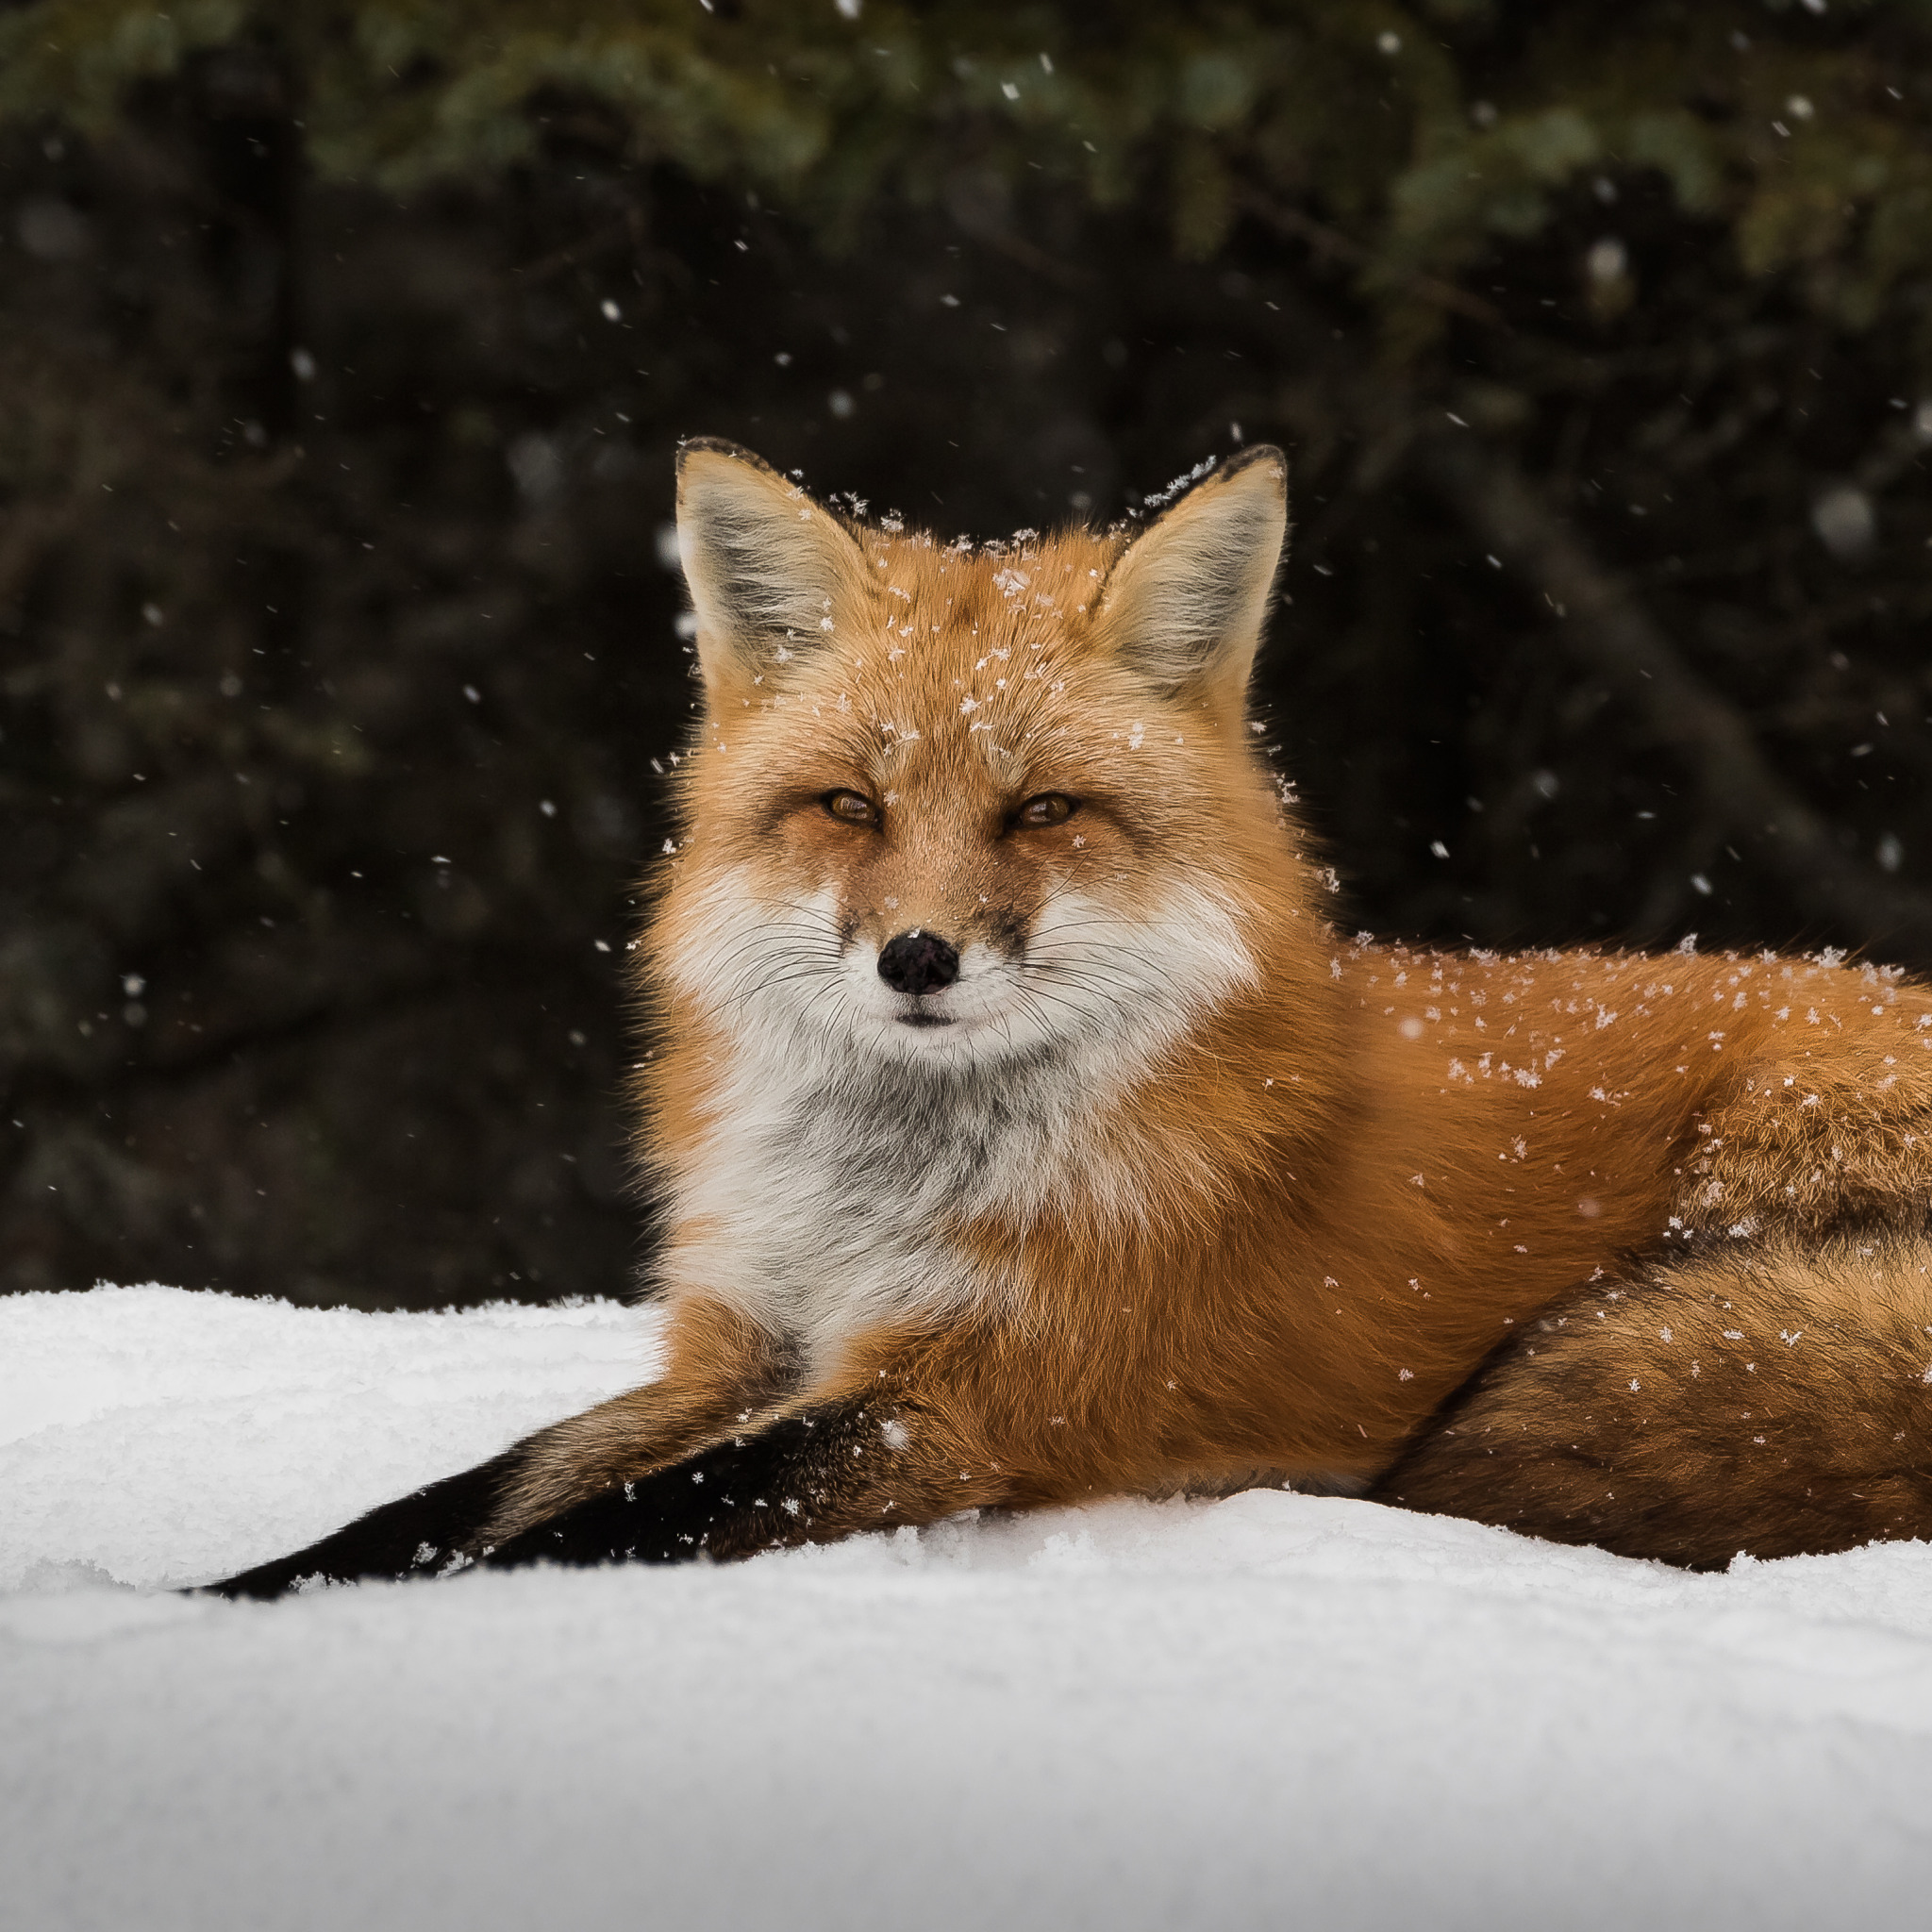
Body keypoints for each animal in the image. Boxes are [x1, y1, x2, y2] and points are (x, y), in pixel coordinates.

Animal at [219, 441, 1932, 1599]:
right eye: (849, 807)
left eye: (1041, 810)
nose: (916, 957)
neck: (880, 1195)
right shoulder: (738, 1345)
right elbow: (451, 1501)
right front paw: (212, 1596)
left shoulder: (964, 1399)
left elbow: (594, 1530)